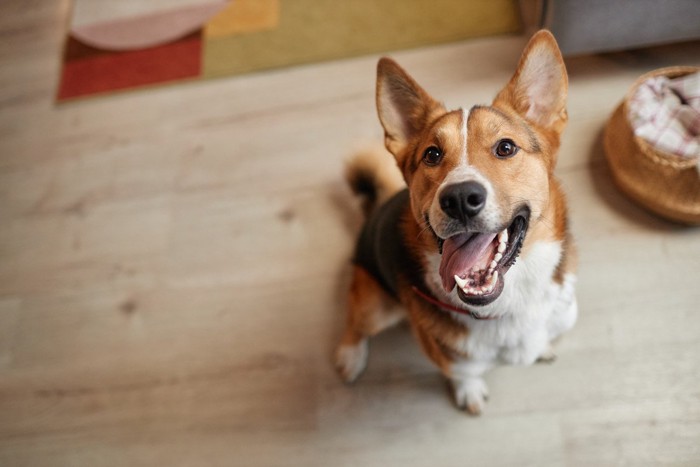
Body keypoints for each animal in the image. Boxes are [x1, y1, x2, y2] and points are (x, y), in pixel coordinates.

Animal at [336, 31, 576, 414]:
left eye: (506, 147)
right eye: (432, 155)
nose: (460, 199)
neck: (506, 307)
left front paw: (542, 349)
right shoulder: (451, 357)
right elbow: (464, 373)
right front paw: (469, 391)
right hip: (376, 304)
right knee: (354, 322)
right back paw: (350, 355)